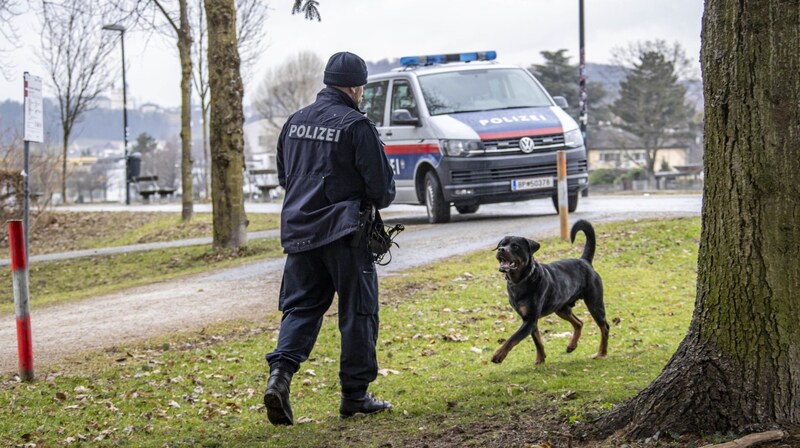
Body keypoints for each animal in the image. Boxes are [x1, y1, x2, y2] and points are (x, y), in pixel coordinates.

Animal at [490, 220, 608, 364]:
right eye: (502, 244)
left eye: (515, 246)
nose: (501, 249)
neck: (521, 281)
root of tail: (584, 261)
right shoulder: (529, 320)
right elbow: (537, 340)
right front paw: (540, 359)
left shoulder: (529, 320)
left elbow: (513, 338)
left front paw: (499, 355)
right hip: (561, 308)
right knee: (579, 323)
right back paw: (571, 346)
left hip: (594, 303)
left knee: (604, 327)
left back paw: (602, 353)